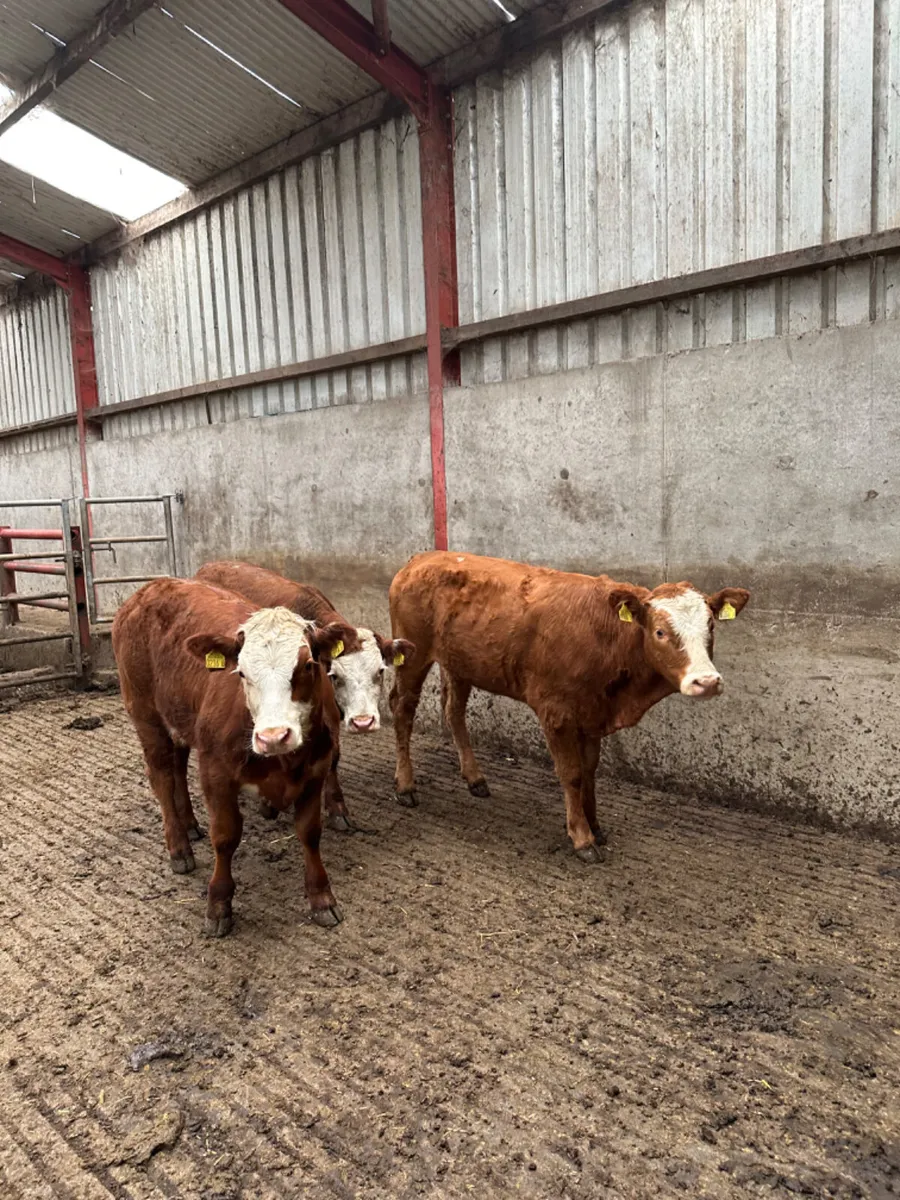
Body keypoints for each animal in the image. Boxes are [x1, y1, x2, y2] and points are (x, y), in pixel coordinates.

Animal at [112, 577, 355, 936]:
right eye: (240, 673)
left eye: (308, 665)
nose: (273, 736)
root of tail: (153, 586)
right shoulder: (216, 772)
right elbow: (226, 837)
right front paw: (218, 904)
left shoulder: (316, 770)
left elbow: (310, 833)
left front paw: (321, 898)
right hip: (144, 713)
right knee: (162, 777)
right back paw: (179, 847)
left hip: (181, 716)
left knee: (178, 766)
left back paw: (190, 824)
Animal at [388, 552, 750, 863]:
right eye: (660, 632)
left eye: (711, 627)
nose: (706, 681)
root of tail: (424, 557)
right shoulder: (556, 712)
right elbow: (572, 774)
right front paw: (581, 837)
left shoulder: (593, 713)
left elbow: (590, 771)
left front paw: (595, 825)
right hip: (413, 657)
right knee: (402, 710)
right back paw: (405, 786)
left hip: (460, 663)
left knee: (454, 711)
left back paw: (474, 778)